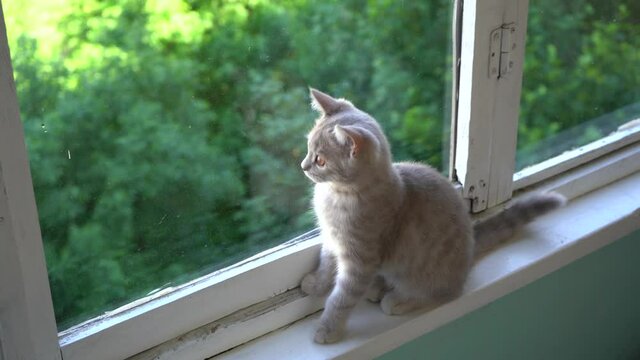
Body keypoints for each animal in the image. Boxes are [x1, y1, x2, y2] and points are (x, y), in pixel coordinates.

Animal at [300, 87, 564, 344]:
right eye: (308, 149)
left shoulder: (360, 260)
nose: (303, 166)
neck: (338, 196)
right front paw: (315, 283)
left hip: (424, 276)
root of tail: (469, 252)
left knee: (441, 294)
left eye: (320, 160)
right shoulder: (331, 238)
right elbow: (326, 264)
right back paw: (378, 288)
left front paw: (327, 328)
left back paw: (397, 299)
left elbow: (342, 298)